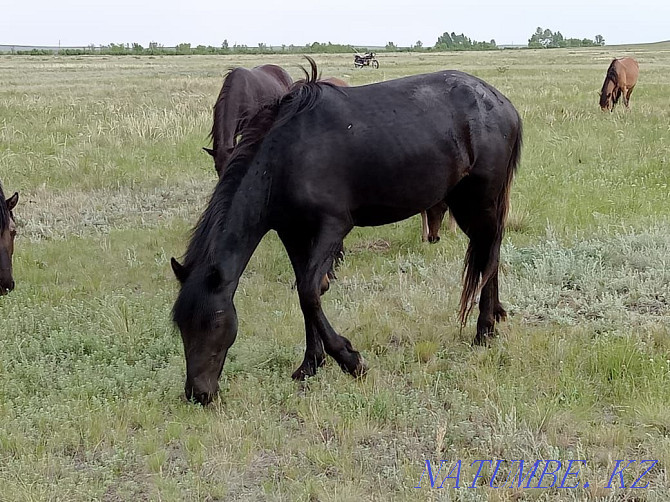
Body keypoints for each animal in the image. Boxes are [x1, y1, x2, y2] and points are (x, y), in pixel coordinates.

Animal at [171, 57, 524, 404]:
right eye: (180, 325)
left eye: (216, 321)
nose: (198, 393)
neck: (287, 156)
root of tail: (502, 103)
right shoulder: (292, 233)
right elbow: (304, 291)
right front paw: (310, 363)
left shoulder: (332, 228)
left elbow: (309, 292)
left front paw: (349, 360)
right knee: (488, 251)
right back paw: (495, 316)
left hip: (478, 200)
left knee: (489, 251)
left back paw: (484, 328)